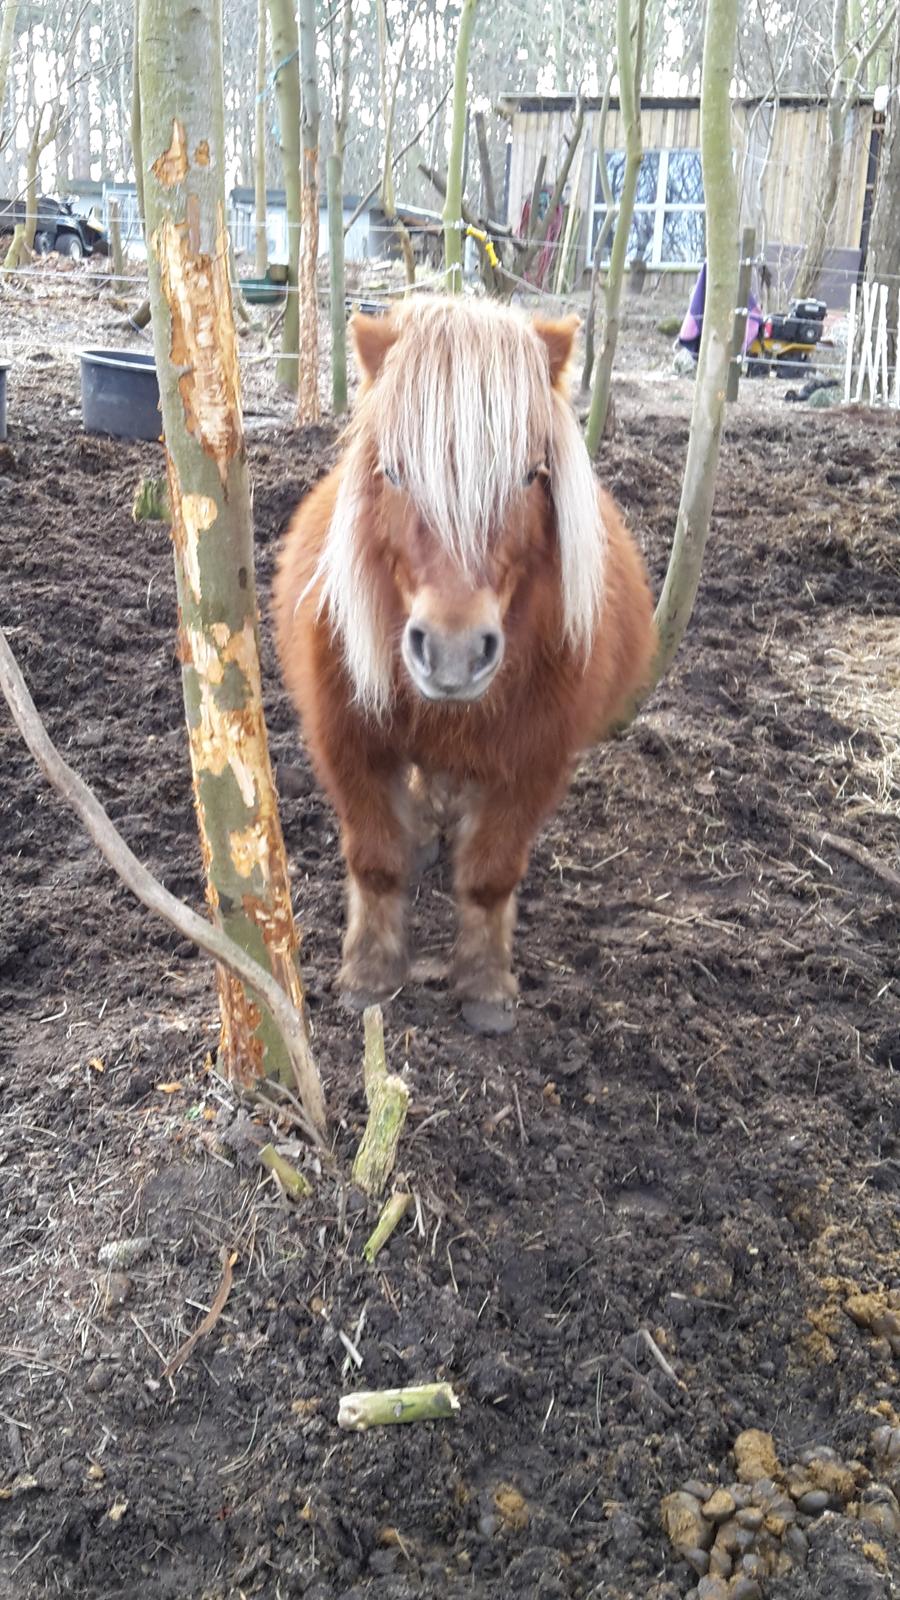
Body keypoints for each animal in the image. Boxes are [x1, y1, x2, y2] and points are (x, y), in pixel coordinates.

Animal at [272, 294, 650, 1030]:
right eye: (393, 471)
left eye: (532, 473)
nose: (452, 651)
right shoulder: (349, 743)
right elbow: (377, 861)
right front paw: (369, 974)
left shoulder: (535, 763)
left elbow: (490, 877)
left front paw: (484, 985)